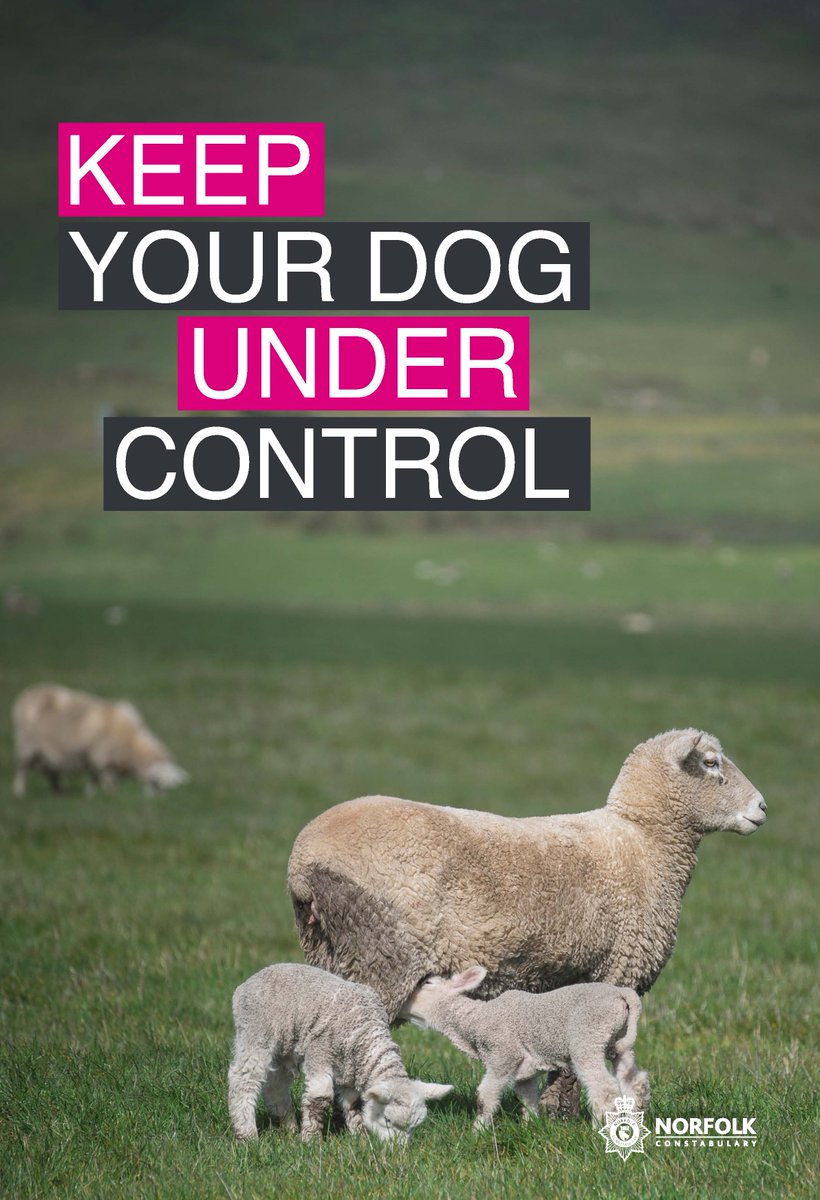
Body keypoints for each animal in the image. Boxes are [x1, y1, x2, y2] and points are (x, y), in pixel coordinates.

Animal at [11, 683, 188, 798]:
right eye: (156, 783)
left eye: (169, 788)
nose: (158, 799)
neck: (131, 745)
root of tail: (28, 693)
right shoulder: (99, 757)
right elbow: (101, 778)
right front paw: (106, 794)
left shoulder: (101, 759)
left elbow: (96, 777)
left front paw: (91, 793)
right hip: (26, 746)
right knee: (21, 768)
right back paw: (19, 791)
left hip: (47, 753)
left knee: (52, 771)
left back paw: (58, 791)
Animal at [228, 962, 452, 1143]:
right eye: (387, 1120)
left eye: (413, 1127)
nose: (399, 1149)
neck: (364, 1034)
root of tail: (246, 984)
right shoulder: (320, 1051)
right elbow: (319, 1096)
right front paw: (311, 1139)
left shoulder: (349, 1069)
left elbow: (353, 1103)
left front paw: (360, 1136)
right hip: (256, 1031)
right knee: (244, 1078)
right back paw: (247, 1134)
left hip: (285, 1046)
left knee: (275, 1084)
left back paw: (288, 1125)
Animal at [401, 965, 649, 1128]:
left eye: (427, 983)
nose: (401, 1005)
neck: (476, 1020)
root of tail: (622, 994)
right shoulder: (524, 1072)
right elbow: (527, 1097)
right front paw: (530, 1125)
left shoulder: (503, 1055)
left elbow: (485, 1097)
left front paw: (478, 1131)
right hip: (619, 1042)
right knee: (634, 1081)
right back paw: (635, 1120)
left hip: (588, 1037)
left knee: (604, 1088)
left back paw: (600, 1129)